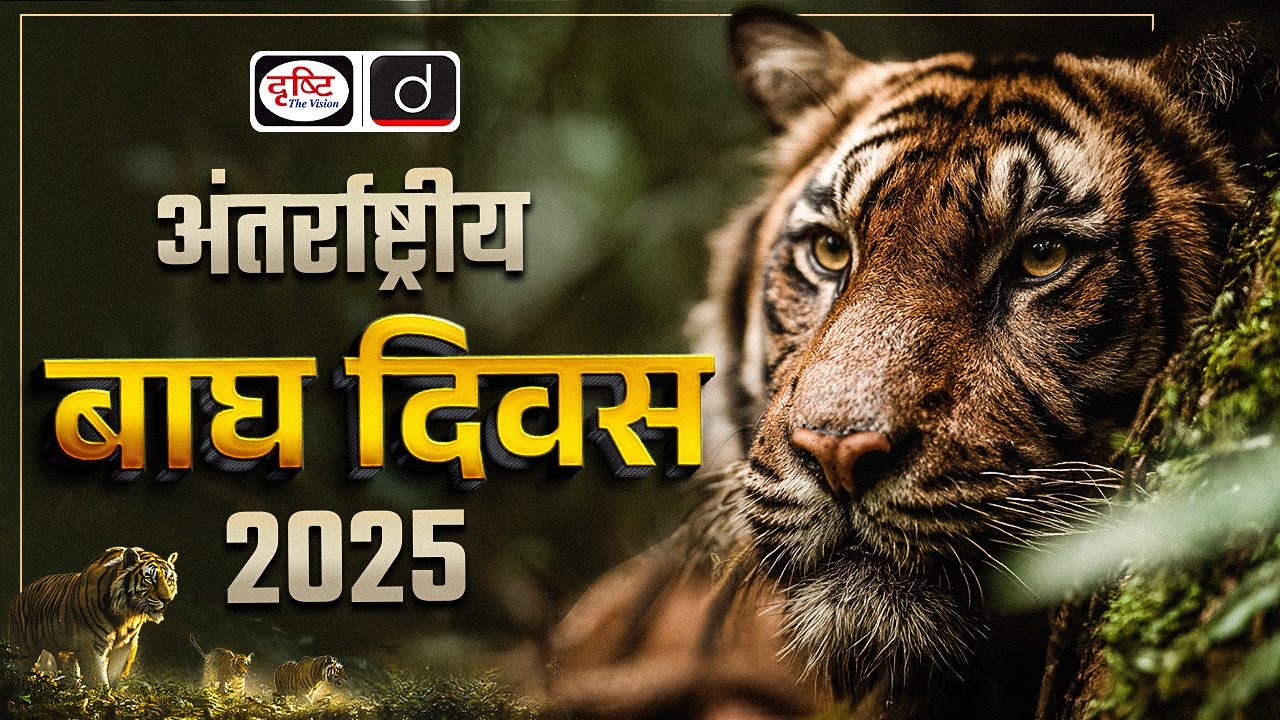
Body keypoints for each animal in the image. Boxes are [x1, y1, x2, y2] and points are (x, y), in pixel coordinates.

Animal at [7, 546, 178, 688]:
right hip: (23, 650)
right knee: (20, 671)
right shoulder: (92, 644)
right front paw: (102, 697)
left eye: (169, 579)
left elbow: (114, 672)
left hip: (63, 651)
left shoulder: (126, 645)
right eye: (149, 579)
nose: (167, 599)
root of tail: (20, 593)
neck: (127, 614)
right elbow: (96, 676)